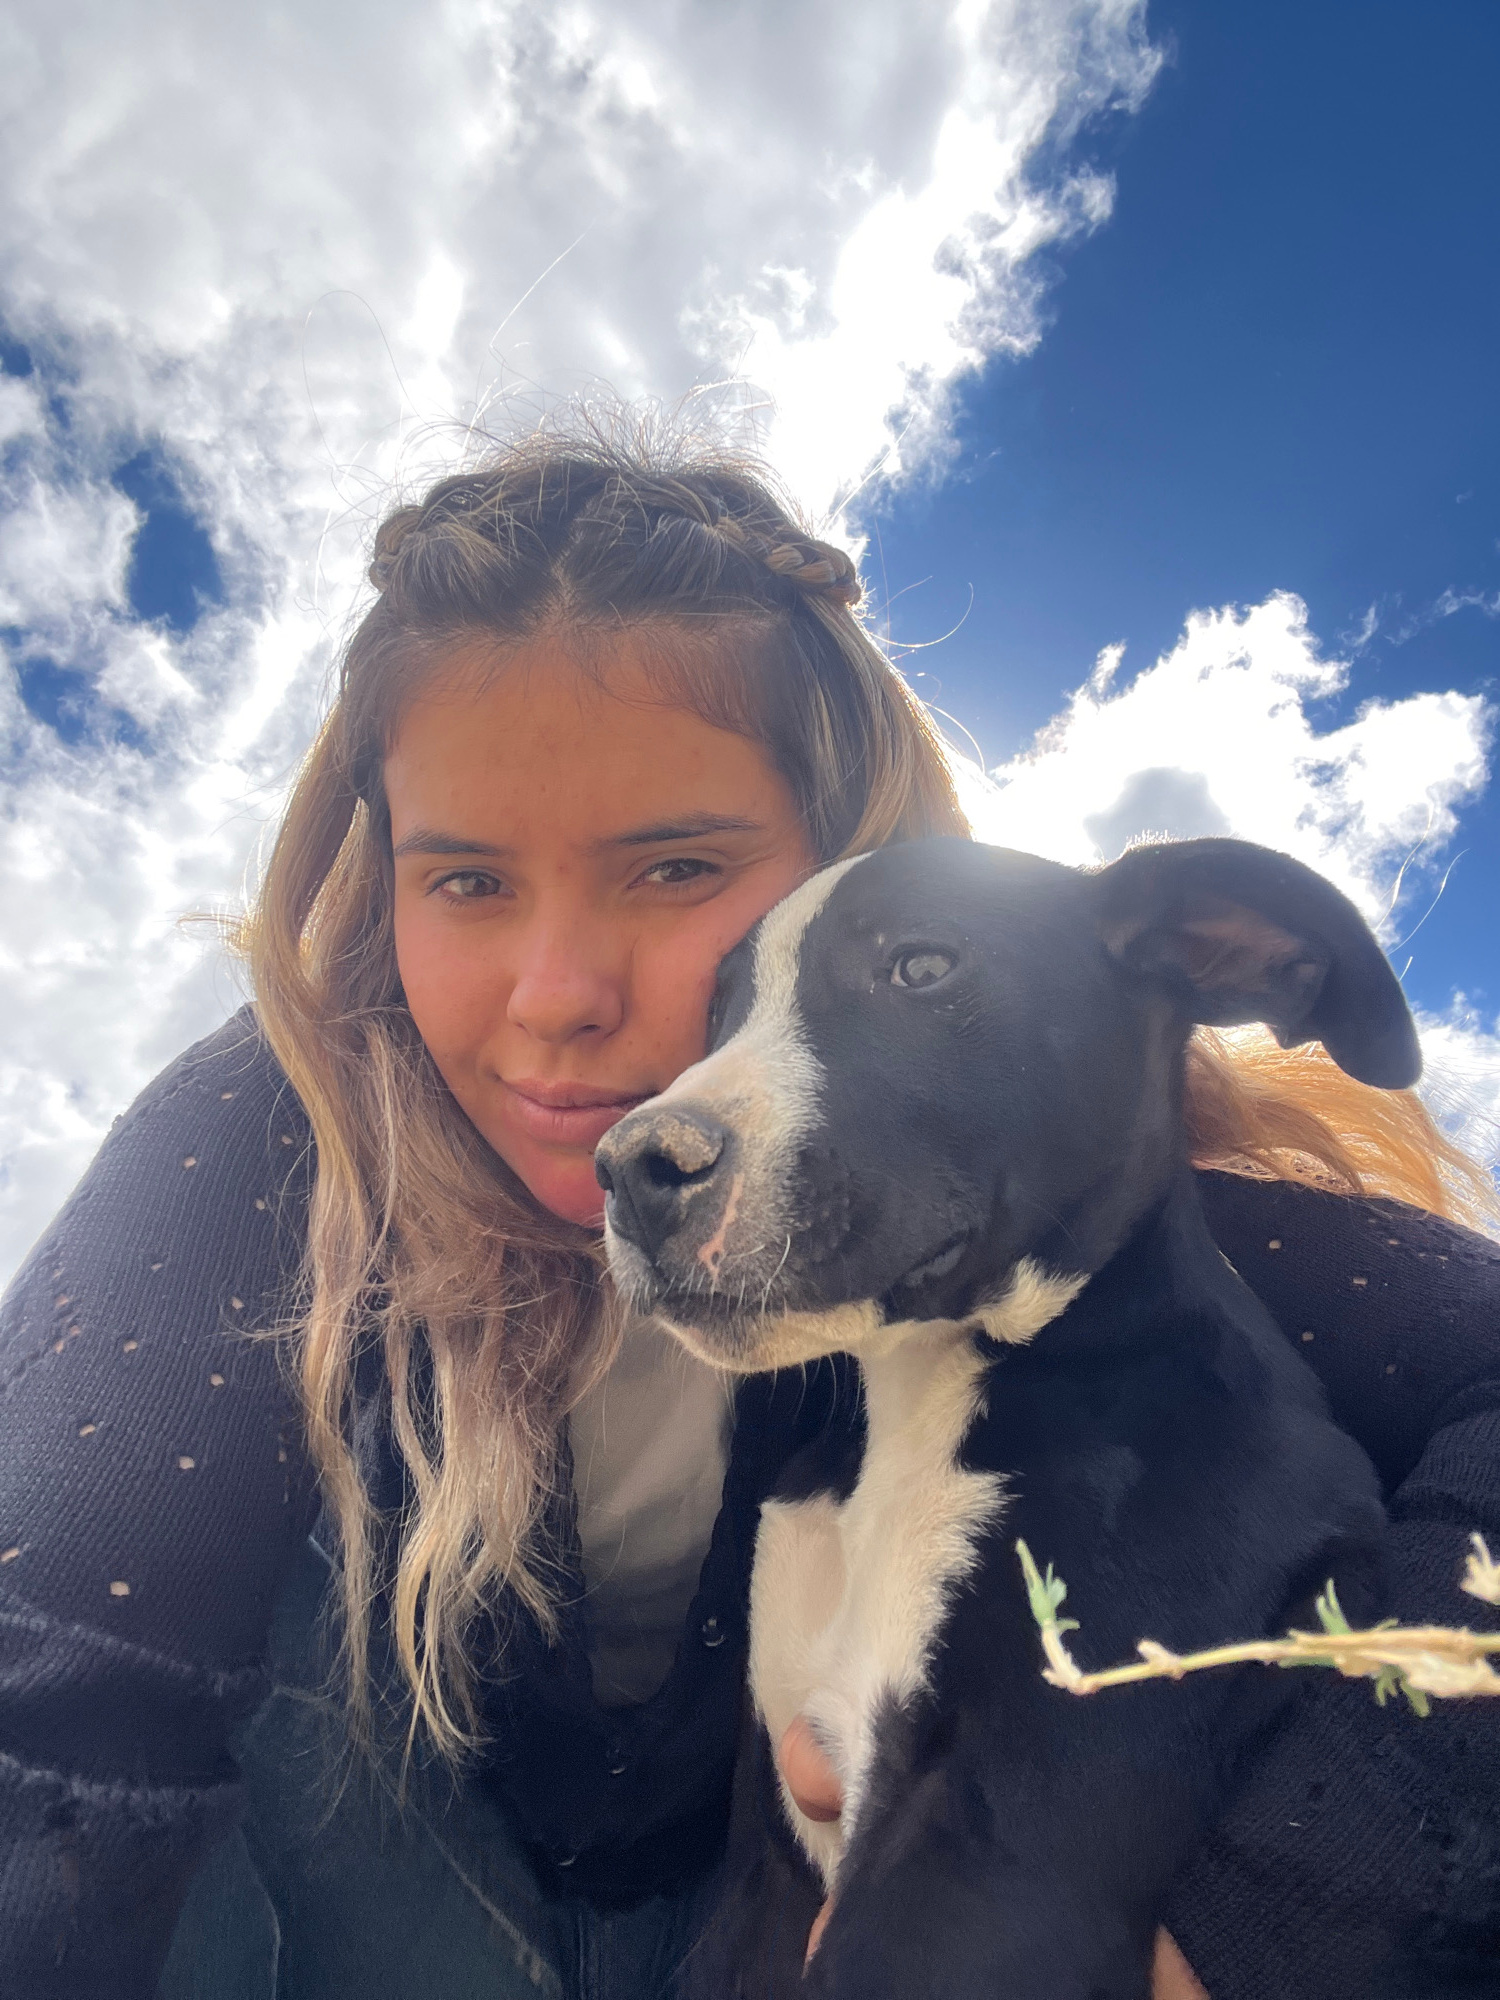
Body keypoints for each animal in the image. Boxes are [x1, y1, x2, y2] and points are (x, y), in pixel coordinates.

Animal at [595, 835, 1416, 1999]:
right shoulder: (767, 1865)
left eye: (923, 966)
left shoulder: (994, 1870)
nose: (629, 1169)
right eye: (718, 1014)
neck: (923, 1400)